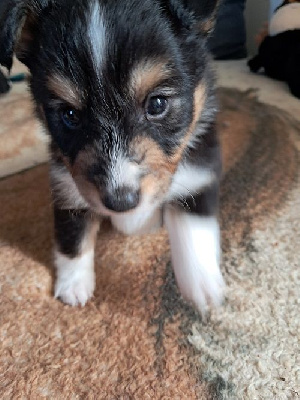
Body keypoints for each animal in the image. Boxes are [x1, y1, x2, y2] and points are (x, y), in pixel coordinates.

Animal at [0, 0, 224, 312]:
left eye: (157, 103)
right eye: (70, 115)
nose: (120, 202)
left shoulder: (199, 173)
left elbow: (194, 228)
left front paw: (202, 288)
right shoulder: (66, 186)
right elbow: (73, 236)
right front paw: (73, 285)